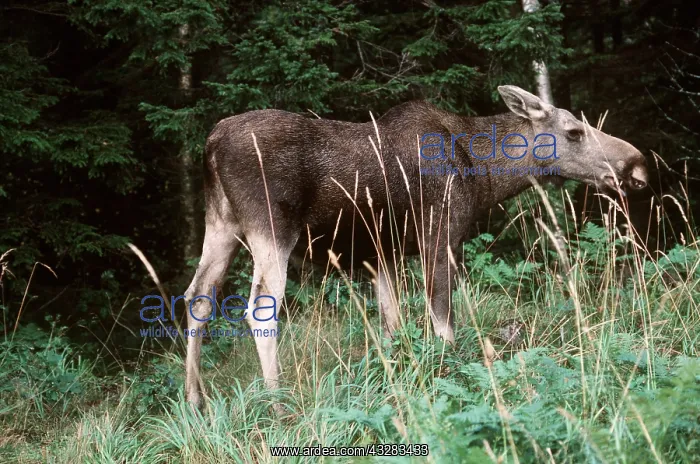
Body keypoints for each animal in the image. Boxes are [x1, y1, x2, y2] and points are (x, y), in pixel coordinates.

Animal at [183, 85, 648, 408]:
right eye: (574, 131)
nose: (637, 164)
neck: (485, 176)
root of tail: (210, 145)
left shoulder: (382, 254)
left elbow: (393, 325)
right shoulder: (439, 234)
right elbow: (443, 322)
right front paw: (448, 377)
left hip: (221, 224)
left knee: (197, 297)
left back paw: (195, 401)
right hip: (271, 227)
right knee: (259, 308)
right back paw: (278, 403)